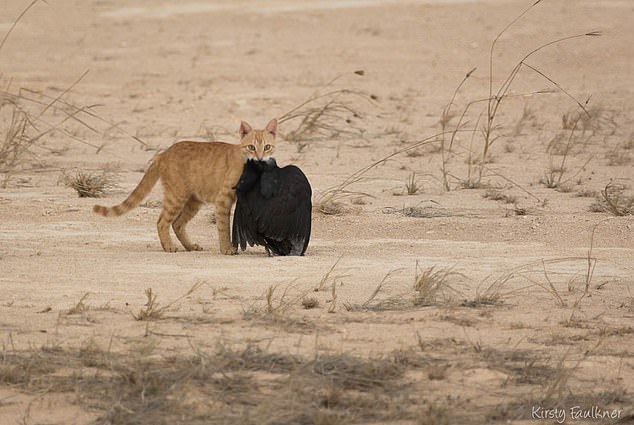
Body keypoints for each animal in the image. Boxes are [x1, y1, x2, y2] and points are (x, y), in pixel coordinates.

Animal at [92, 117, 276, 253]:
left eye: (267, 147)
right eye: (251, 147)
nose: (260, 158)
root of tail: (163, 153)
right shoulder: (223, 199)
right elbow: (224, 227)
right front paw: (226, 249)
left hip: (193, 201)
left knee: (177, 223)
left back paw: (189, 246)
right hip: (176, 197)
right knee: (162, 222)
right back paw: (169, 247)